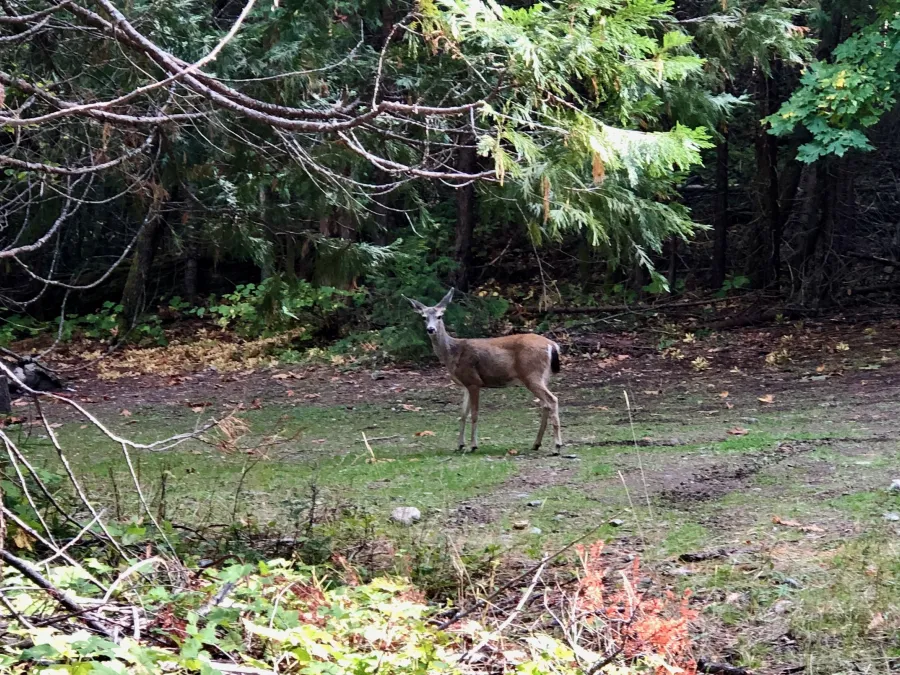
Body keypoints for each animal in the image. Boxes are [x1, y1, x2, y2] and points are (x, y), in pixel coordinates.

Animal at [403, 288, 562, 454]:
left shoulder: (474, 381)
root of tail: (552, 345)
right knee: (545, 404)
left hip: (532, 374)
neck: (453, 352)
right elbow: (462, 414)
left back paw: (557, 446)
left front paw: (473, 445)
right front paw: (460, 445)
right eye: (424, 317)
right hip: (543, 376)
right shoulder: (465, 385)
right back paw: (536, 444)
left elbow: (474, 414)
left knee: (552, 400)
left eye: (440, 316)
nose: (431, 329)